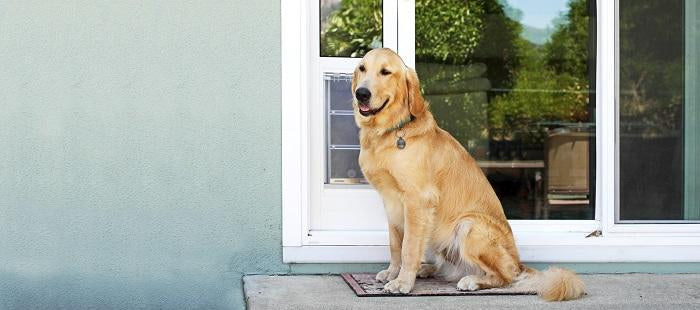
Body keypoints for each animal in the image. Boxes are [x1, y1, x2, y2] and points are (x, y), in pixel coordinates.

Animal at [350, 47, 584, 300]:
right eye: (362, 68)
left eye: (386, 72)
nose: (361, 93)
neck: (391, 132)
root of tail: (520, 264)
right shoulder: (391, 202)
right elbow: (395, 245)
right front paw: (393, 273)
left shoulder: (417, 200)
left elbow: (408, 248)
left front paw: (402, 283)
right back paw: (427, 269)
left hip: (468, 225)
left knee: (505, 277)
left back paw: (471, 280)